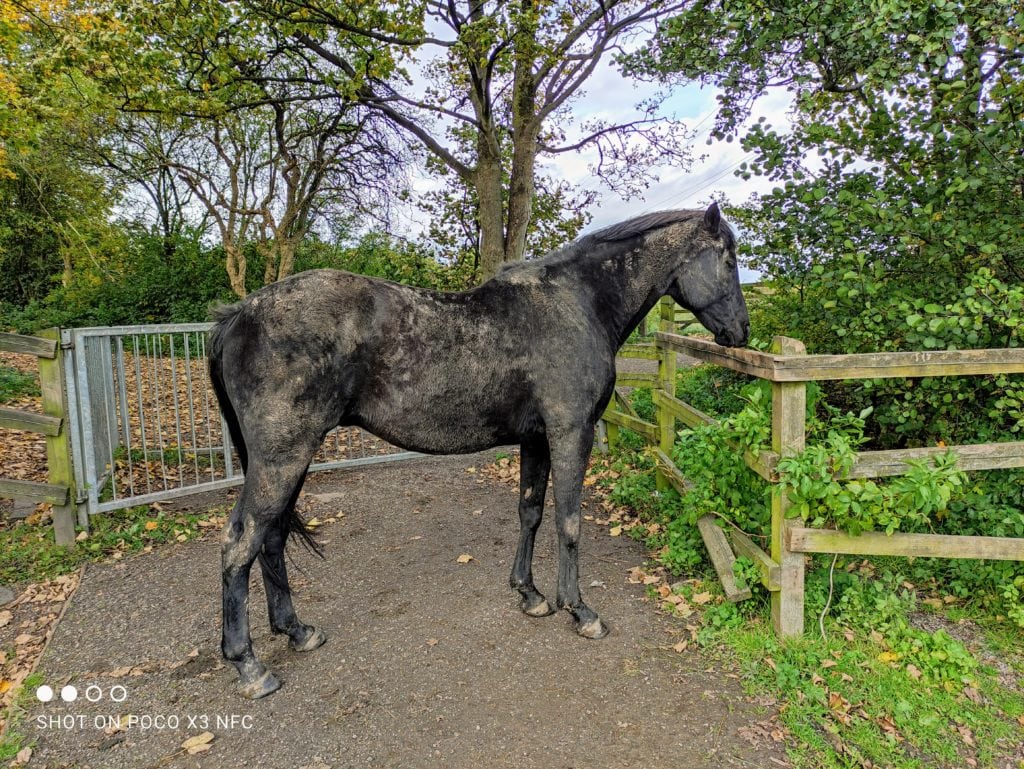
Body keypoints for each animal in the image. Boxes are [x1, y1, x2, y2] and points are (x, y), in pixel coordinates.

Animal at [208, 203, 749, 698]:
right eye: (728, 259)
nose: (741, 333)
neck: (577, 304)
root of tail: (238, 316)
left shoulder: (536, 439)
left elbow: (530, 511)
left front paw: (530, 594)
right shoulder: (570, 433)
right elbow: (568, 521)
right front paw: (579, 610)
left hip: (291, 460)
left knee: (272, 539)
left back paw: (297, 631)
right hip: (283, 459)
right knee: (241, 544)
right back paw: (249, 666)